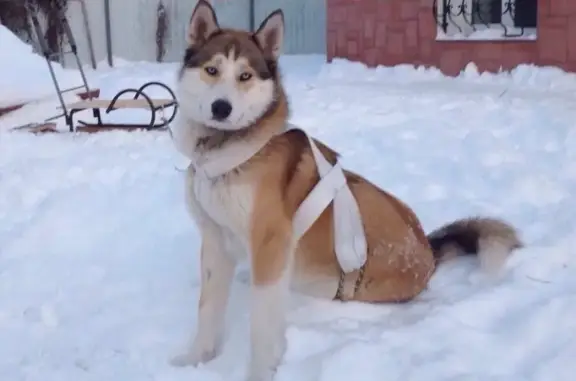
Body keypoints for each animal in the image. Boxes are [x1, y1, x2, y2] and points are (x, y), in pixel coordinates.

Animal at [169, 1, 524, 378]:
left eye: (245, 76)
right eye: (212, 70)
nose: (221, 108)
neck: (226, 152)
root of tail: (428, 252)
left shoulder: (270, 241)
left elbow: (262, 325)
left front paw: (260, 372)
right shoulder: (215, 239)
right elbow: (207, 308)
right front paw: (197, 359)